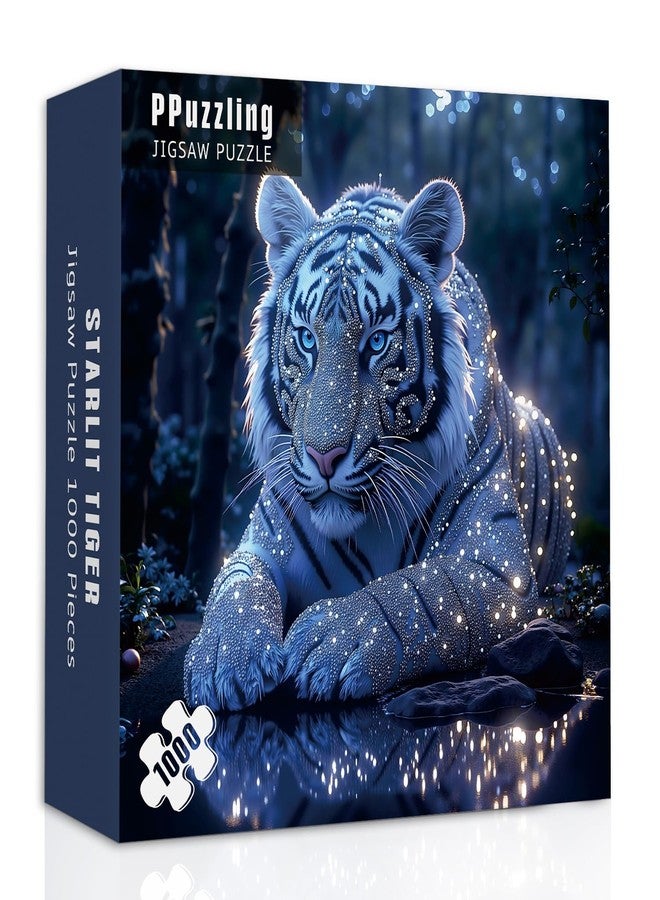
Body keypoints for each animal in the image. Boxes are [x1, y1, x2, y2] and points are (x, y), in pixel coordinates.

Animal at [184, 174, 573, 711]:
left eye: (376, 342)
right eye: (306, 339)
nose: (324, 457)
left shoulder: (499, 565)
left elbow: (423, 592)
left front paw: (331, 640)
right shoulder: (262, 539)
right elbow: (237, 583)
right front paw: (223, 654)